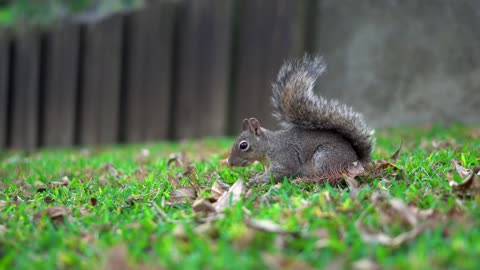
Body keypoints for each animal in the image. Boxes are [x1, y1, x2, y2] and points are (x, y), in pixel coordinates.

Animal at [227, 54, 374, 186]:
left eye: (243, 145)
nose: (230, 163)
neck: (268, 146)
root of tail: (357, 161)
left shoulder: (284, 157)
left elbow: (280, 172)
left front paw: (257, 180)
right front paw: (257, 175)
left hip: (324, 157)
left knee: (328, 175)